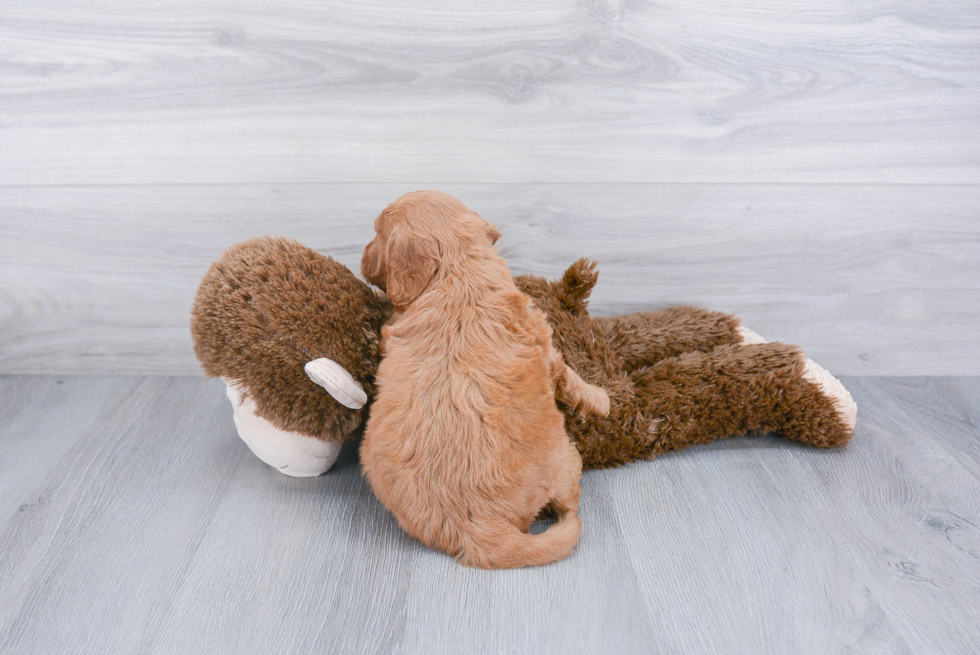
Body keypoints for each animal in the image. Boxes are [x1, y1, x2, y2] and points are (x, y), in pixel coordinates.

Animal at [356, 190, 608, 568]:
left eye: (377, 235)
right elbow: (569, 375)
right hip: (561, 459)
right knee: (568, 503)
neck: (457, 270)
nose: (360, 258)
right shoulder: (544, 341)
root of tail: (480, 529)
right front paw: (601, 399)